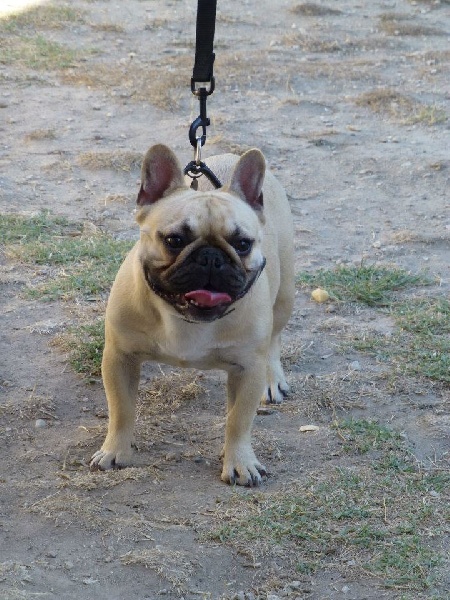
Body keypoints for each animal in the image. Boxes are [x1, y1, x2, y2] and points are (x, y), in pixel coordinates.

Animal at [90, 144, 294, 486]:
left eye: (242, 244)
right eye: (174, 240)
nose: (211, 257)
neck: (185, 319)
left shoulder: (248, 369)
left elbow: (238, 420)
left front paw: (240, 462)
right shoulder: (120, 358)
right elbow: (122, 409)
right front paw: (115, 450)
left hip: (284, 298)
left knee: (275, 339)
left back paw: (273, 379)